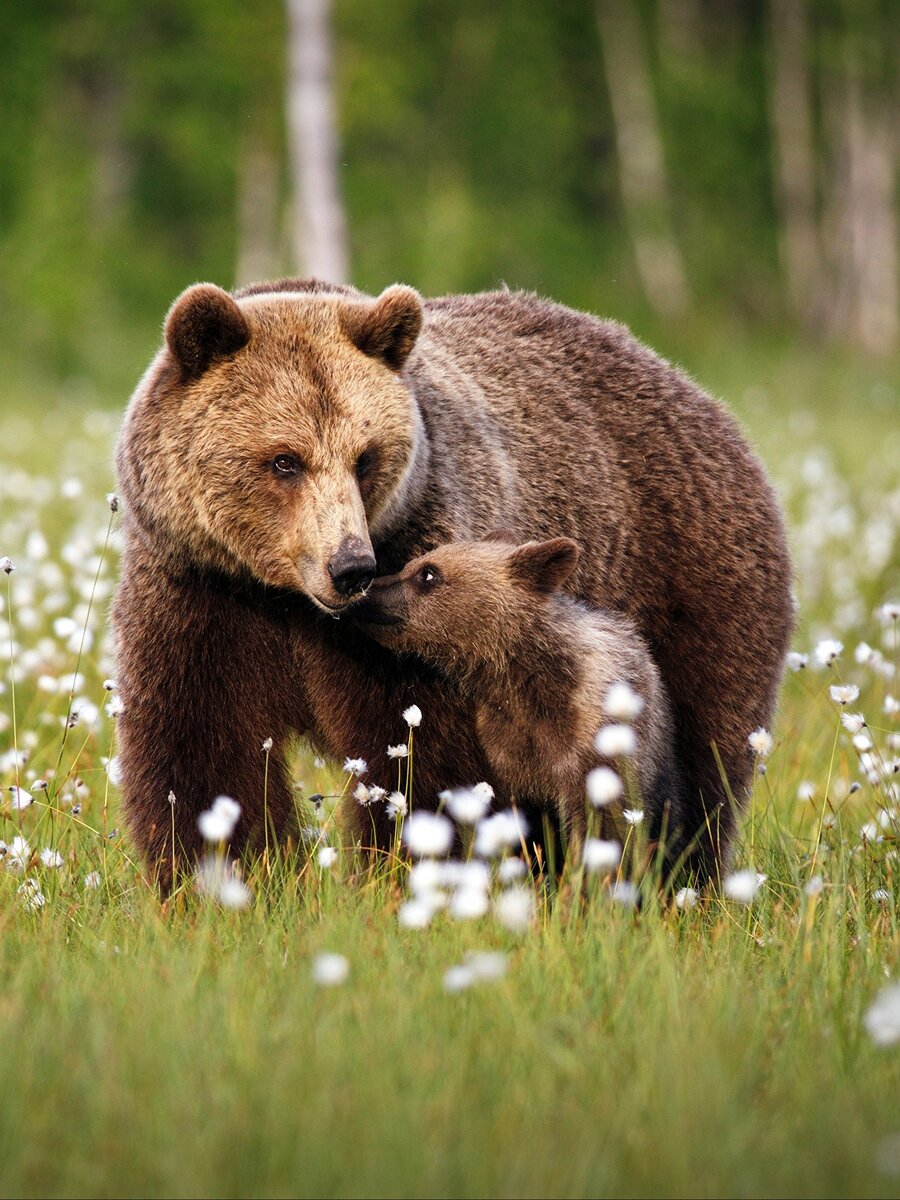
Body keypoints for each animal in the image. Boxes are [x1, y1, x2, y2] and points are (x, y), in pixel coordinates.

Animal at [114, 276, 796, 888]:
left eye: (365, 457)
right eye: (285, 460)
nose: (351, 567)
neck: (284, 598)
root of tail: (693, 388)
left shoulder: (425, 591)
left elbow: (415, 754)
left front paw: (396, 872)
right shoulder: (200, 593)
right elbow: (203, 754)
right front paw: (219, 879)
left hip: (691, 584)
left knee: (702, 760)